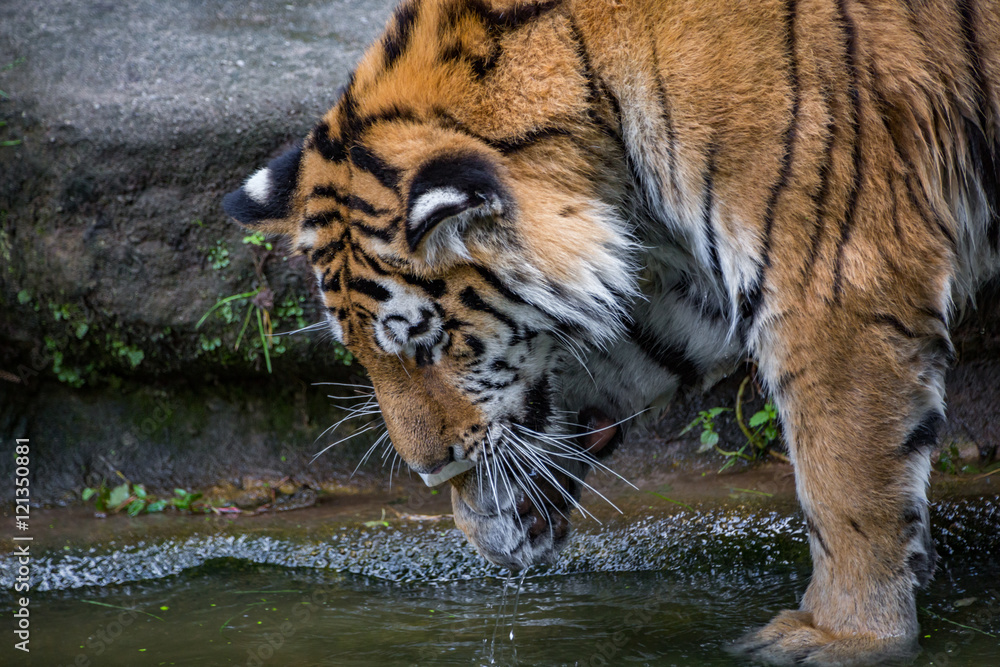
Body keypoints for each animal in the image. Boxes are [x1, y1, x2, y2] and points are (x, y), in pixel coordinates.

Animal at [221, 0, 1000, 663]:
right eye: (361, 353)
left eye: (427, 344)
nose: (429, 469)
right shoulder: (697, 287)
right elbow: (609, 366)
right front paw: (495, 514)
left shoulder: (836, 276)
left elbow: (845, 481)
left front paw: (844, 635)